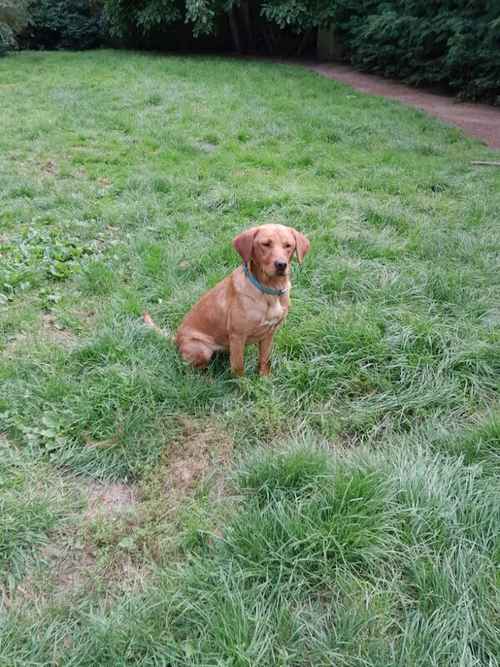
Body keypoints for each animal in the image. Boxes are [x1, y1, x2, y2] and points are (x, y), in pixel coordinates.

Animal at [144, 224, 308, 376]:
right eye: (265, 244)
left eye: (288, 245)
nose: (281, 264)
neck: (270, 291)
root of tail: (176, 339)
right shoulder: (237, 337)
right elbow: (238, 369)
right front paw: (243, 387)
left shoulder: (269, 333)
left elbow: (264, 360)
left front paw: (264, 380)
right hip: (201, 349)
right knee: (193, 370)